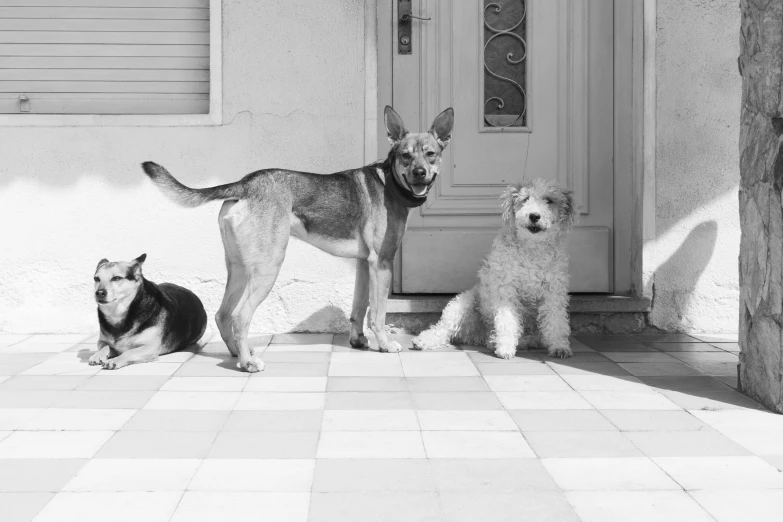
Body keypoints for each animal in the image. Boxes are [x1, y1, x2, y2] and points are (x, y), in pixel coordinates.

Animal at [144, 105, 456, 370]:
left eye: (430, 154)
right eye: (406, 155)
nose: (420, 173)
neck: (390, 182)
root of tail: (245, 184)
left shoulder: (363, 264)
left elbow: (358, 307)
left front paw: (358, 341)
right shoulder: (381, 263)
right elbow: (378, 313)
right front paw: (385, 344)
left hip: (240, 268)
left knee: (223, 314)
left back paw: (238, 355)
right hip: (268, 267)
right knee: (240, 316)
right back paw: (249, 363)